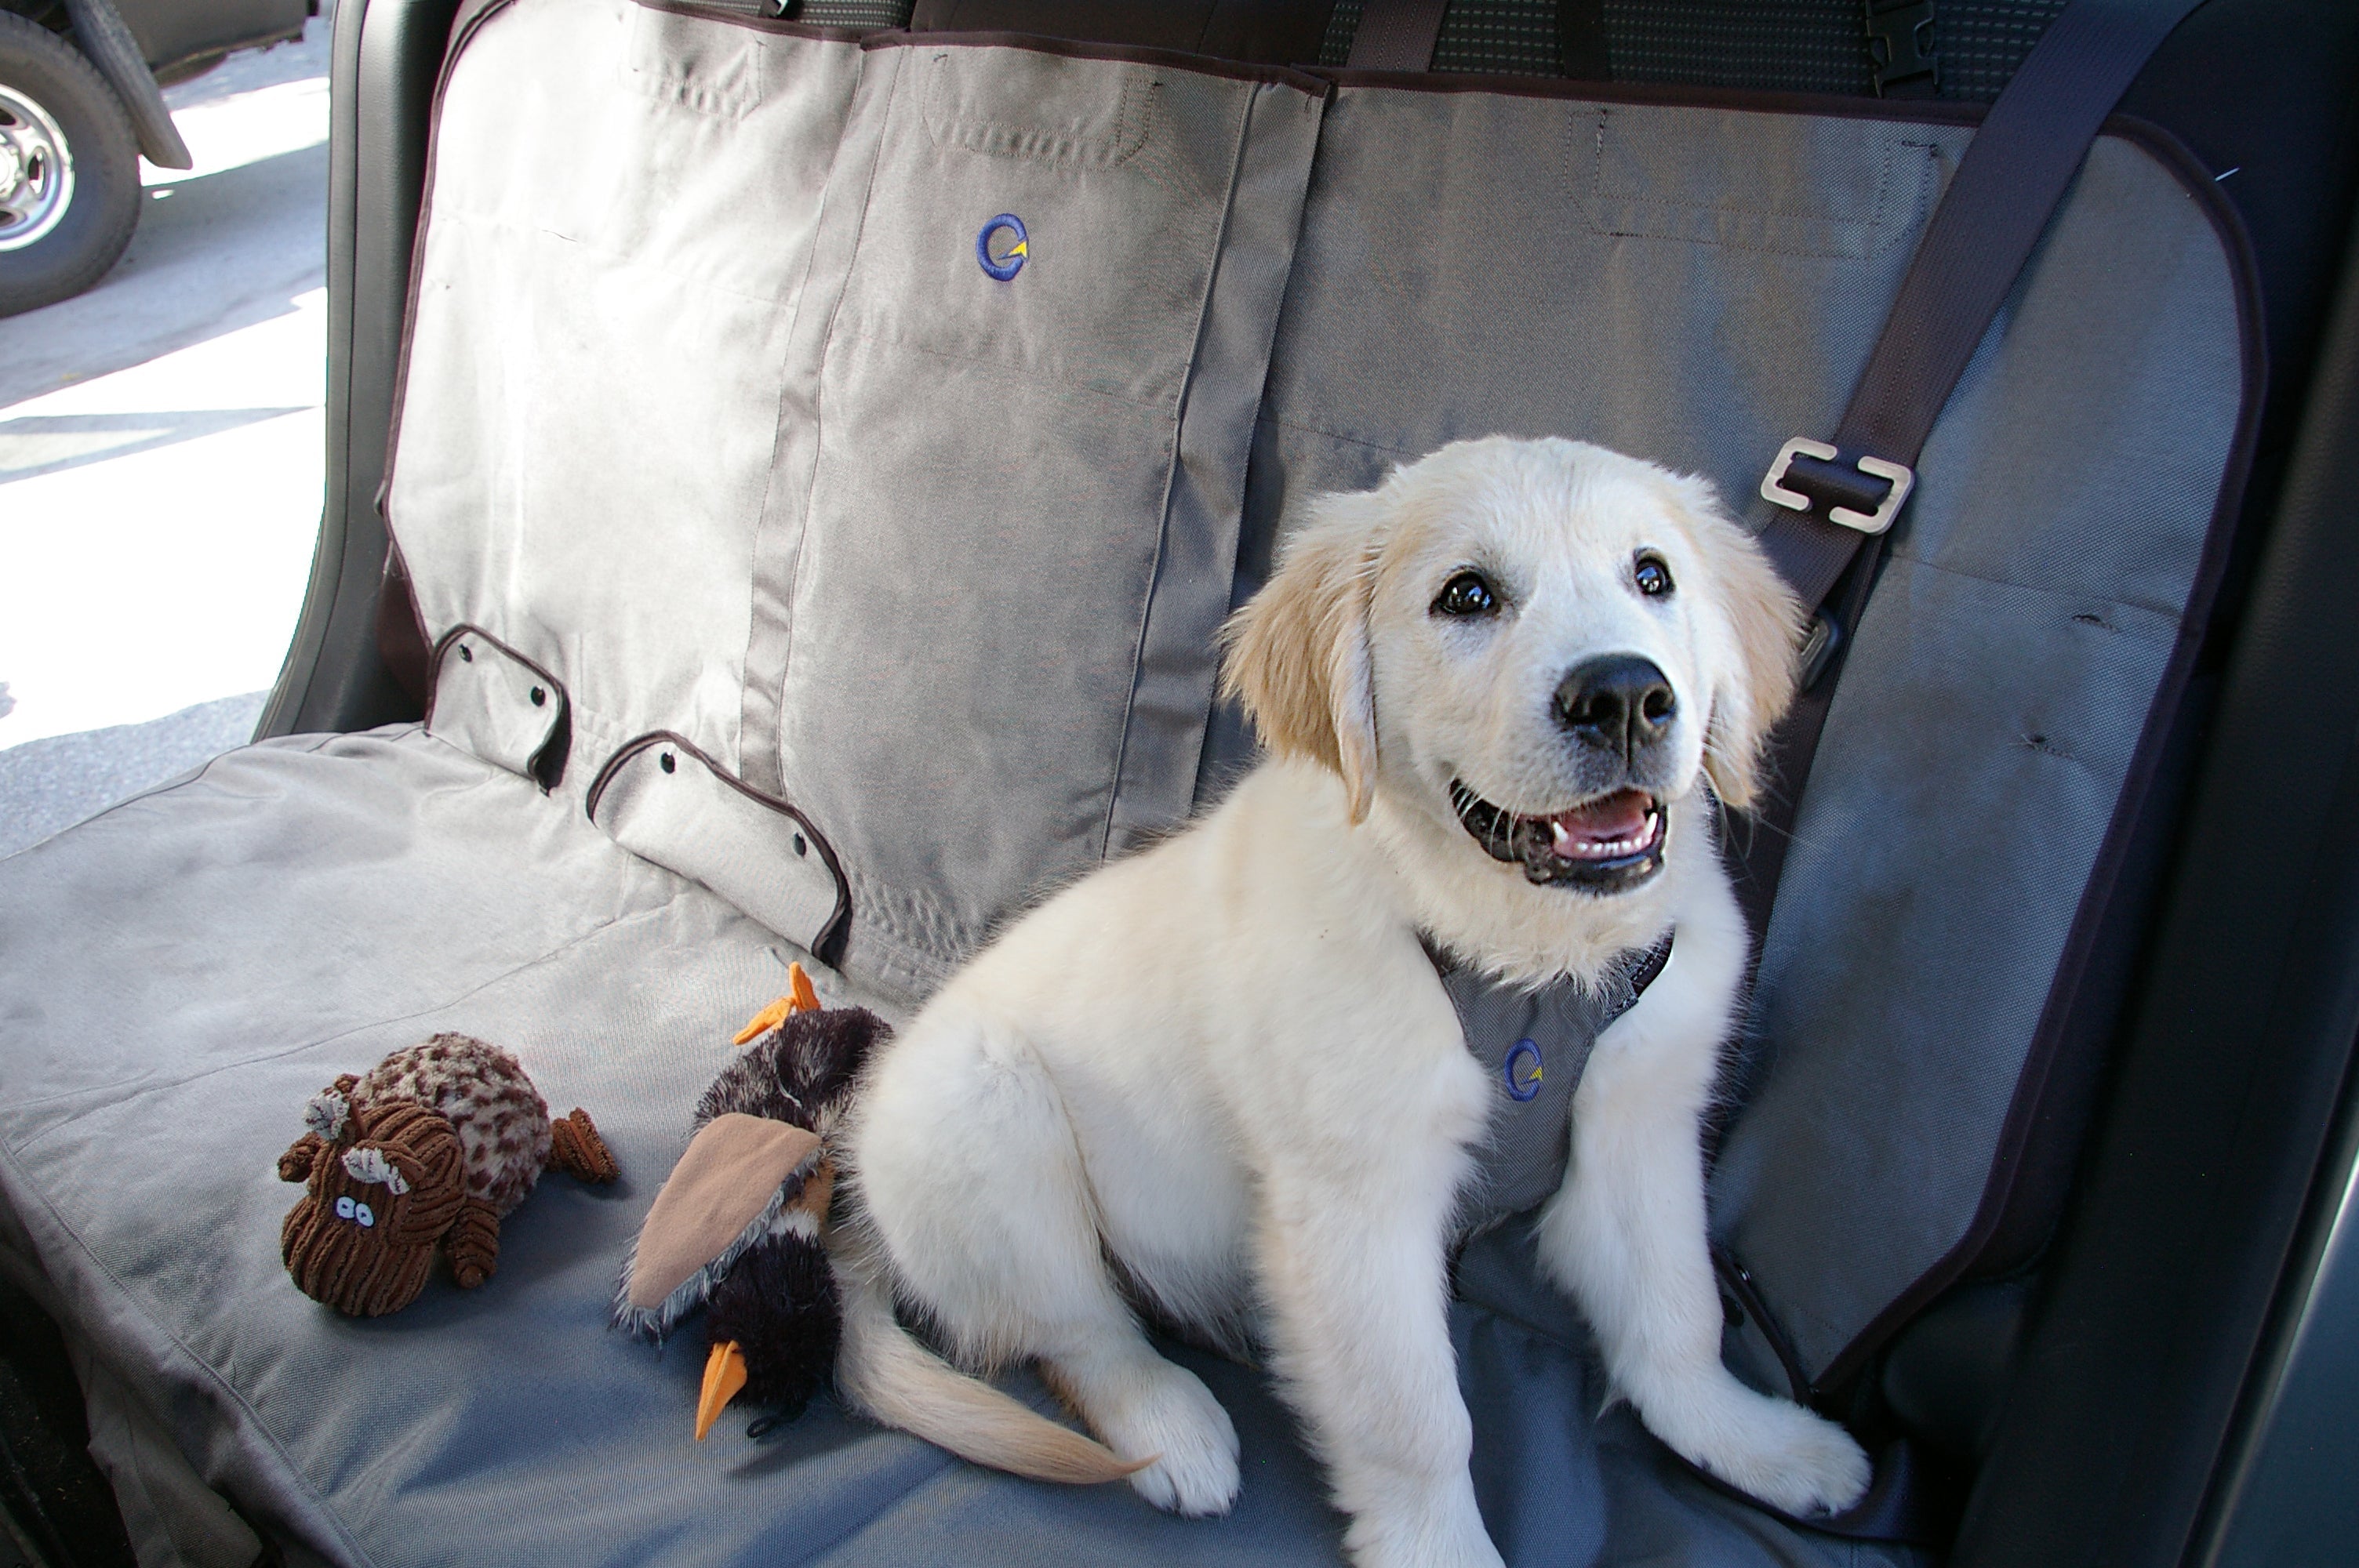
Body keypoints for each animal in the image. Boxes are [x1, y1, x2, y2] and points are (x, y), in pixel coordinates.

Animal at [839, 434, 1868, 1555]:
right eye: (1467, 595)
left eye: (1652, 577)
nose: (1625, 695)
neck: (1525, 963)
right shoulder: (1353, 1205)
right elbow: (1413, 1420)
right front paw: (1441, 1549)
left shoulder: (1641, 1126)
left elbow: (1676, 1314)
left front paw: (1758, 1443)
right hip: (983, 1120)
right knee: (1077, 1332)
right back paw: (1170, 1426)